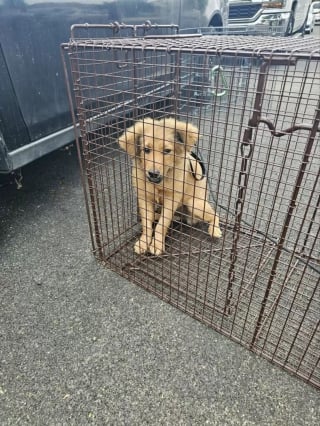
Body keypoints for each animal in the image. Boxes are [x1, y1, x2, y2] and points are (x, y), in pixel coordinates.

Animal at [119, 116, 221, 255]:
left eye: (167, 151)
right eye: (146, 150)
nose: (153, 173)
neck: (159, 183)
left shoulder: (171, 199)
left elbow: (162, 225)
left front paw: (156, 244)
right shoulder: (144, 197)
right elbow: (146, 223)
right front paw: (144, 241)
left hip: (194, 203)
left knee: (215, 214)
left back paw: (214, 230)